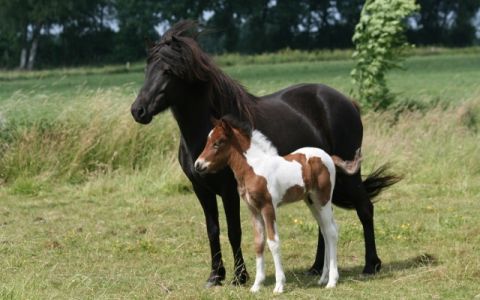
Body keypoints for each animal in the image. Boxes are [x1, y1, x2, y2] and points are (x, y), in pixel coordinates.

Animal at [194, 117, 360, 292]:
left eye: (218, 142)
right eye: (208, 141)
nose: (198, 165)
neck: (255, 168)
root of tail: (329, 156)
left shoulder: (268, 207)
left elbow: (273, 242)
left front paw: (279, 284)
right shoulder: (253, 210)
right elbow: (258, 243)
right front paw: (256, 285)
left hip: (323, 200)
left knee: (331, 232)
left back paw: (332, 281)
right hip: (312, 202)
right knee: (325, 231)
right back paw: (323, 279)